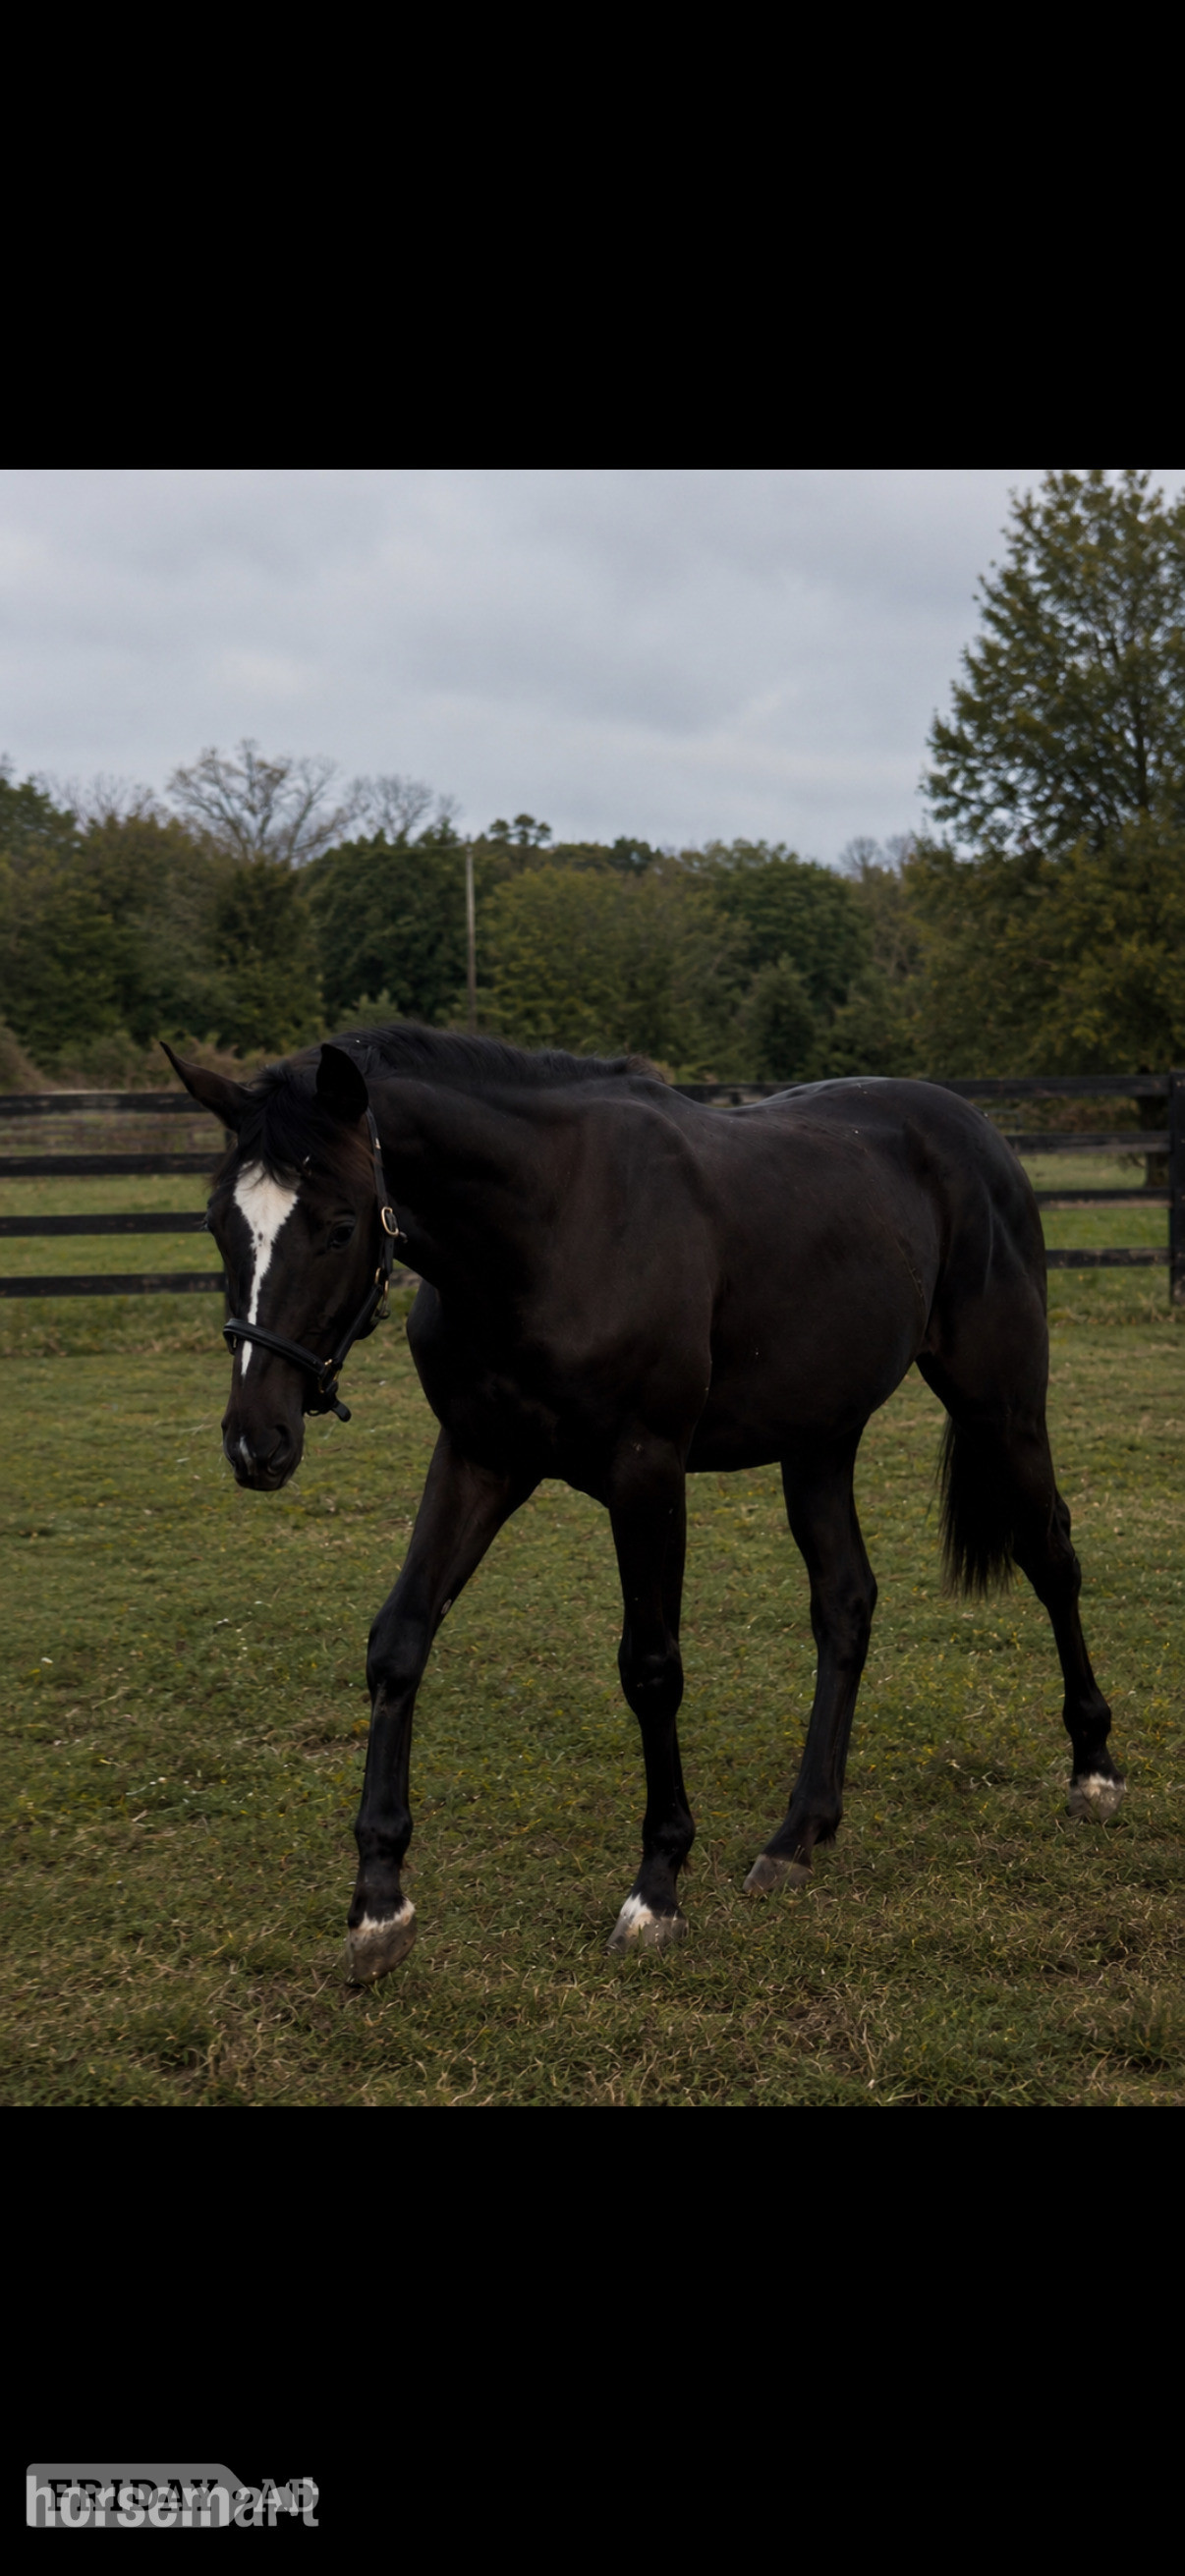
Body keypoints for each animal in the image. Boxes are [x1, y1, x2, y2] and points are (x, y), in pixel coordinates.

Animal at [165, 1025, 1124, 1984]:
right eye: (218, 1225)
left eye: (337, 1227)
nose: (256, 1441)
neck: (551, 1225)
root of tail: (977, 1132)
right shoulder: (478, 1459)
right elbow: (399, 1642)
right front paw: (378, 1904)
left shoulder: (647, 1473)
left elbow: (652, 1668)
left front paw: (657, 1888)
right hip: (820, 1438)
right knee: (846, 1604)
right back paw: (800, 1833)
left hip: (999, 1403)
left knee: (1051, 1556)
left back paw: (1095, 1769)